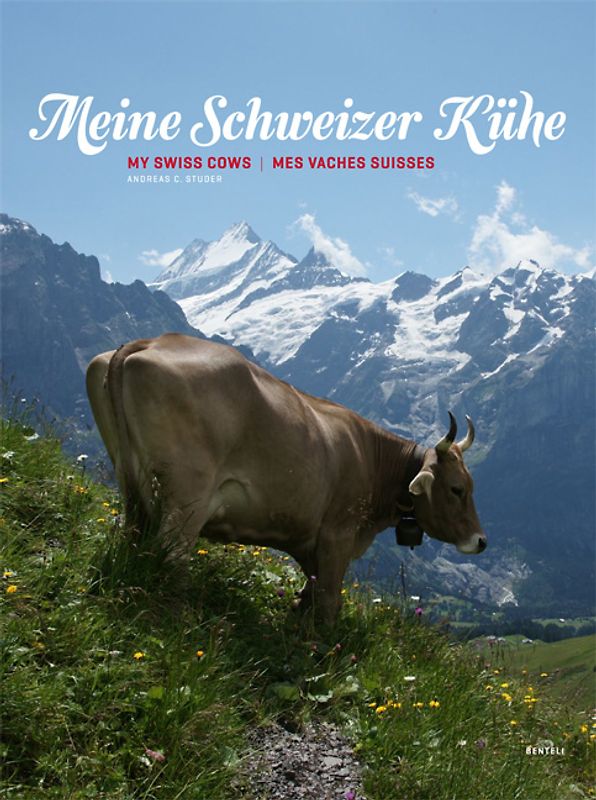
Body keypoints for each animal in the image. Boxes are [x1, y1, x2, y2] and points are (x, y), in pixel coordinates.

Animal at [86, 333, 486, 625]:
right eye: (456, 489)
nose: (481, 541)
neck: (372, 460)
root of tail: (151, 342)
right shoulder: (338, 535)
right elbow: (329, 600)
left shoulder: (310, 541)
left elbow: (310, 592)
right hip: (186, 498)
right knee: (173, 557)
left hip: (131, 483)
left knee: (135, 538)